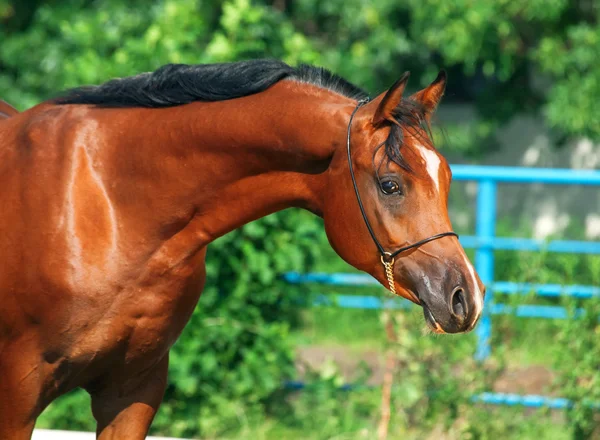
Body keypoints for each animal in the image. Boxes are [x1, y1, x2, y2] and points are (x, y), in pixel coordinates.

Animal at [0, 59, 482, 440]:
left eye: (447, 178)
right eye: (390, 185)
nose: (467, 298)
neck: (107, 204)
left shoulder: (131, 391)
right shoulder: (18, 398)